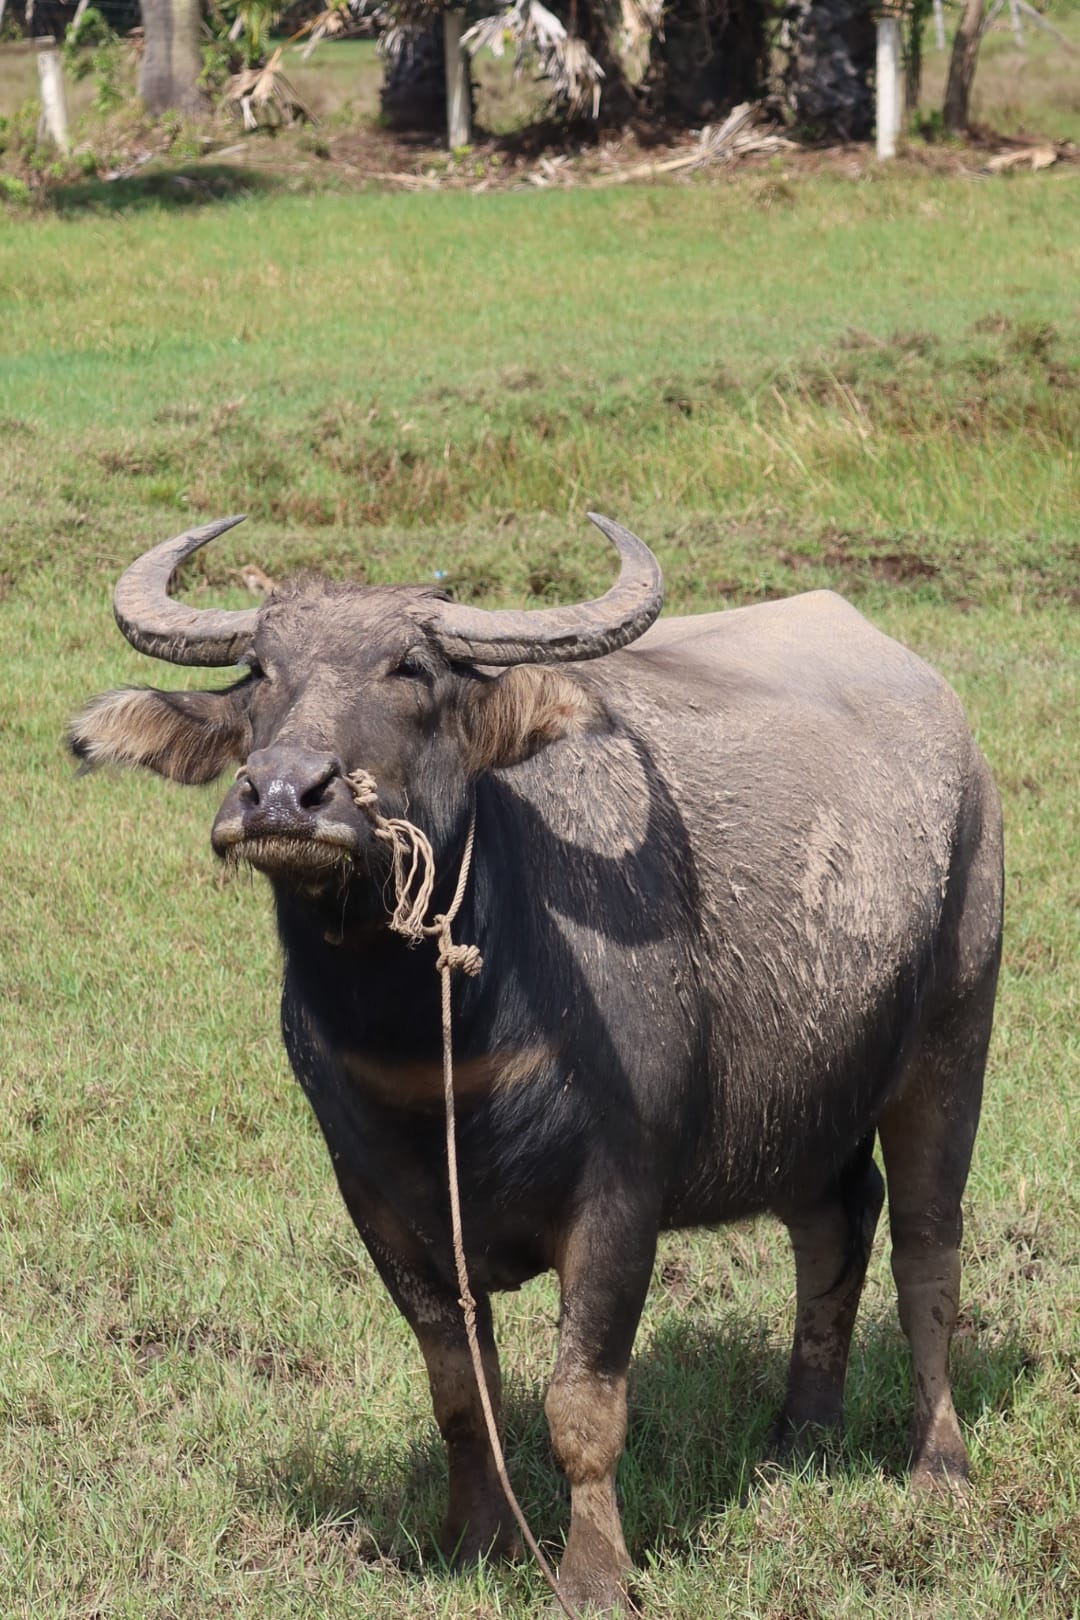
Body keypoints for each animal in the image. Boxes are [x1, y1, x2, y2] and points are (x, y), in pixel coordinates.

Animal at [71, 518, 1003, 1607]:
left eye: (412, 668)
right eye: (260, 670)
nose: (283, 796)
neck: (442, 1053)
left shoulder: (619, 1203)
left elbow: (582, 1405)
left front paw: (595, 1574)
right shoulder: (382, 1210)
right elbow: (459, 1392)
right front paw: (478, 1540)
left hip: (953, 1036)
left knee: (925, 1251)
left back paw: (938, 1464)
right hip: (807, 1103)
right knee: (835, 1227)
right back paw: (800, 1438)